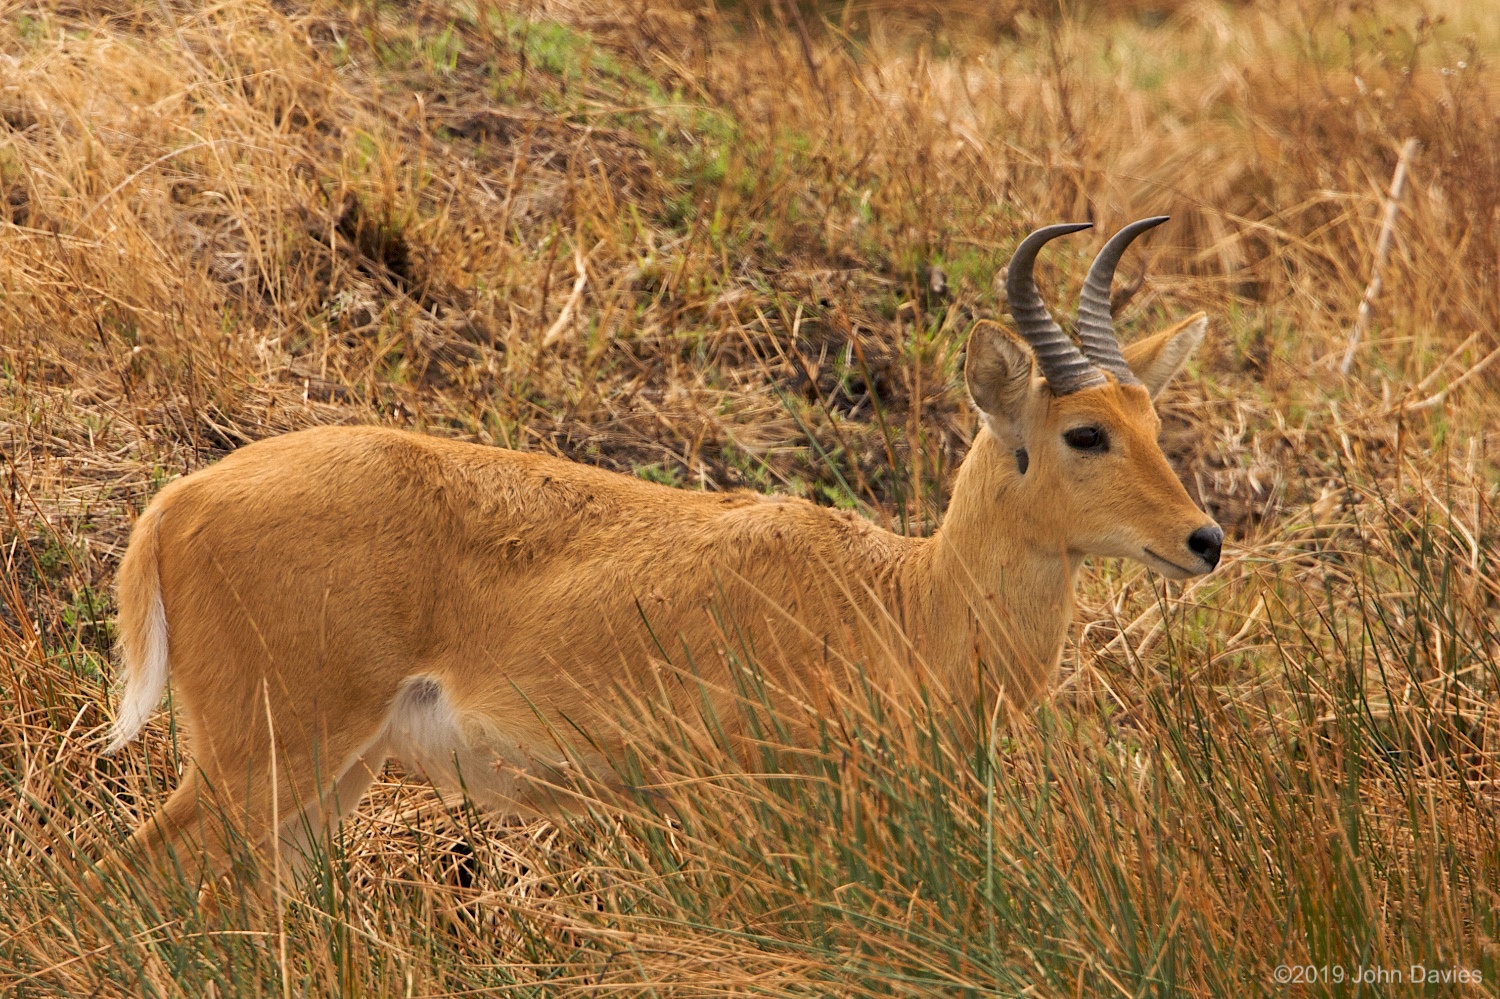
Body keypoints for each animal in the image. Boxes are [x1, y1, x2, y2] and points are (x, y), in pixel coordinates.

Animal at [99, 216, 1218, 882]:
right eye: (1085, 432)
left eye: (1154, 419)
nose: (1202, 539)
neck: (904, 600)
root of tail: (179, 500)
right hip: (269, 756)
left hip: (330, 775)